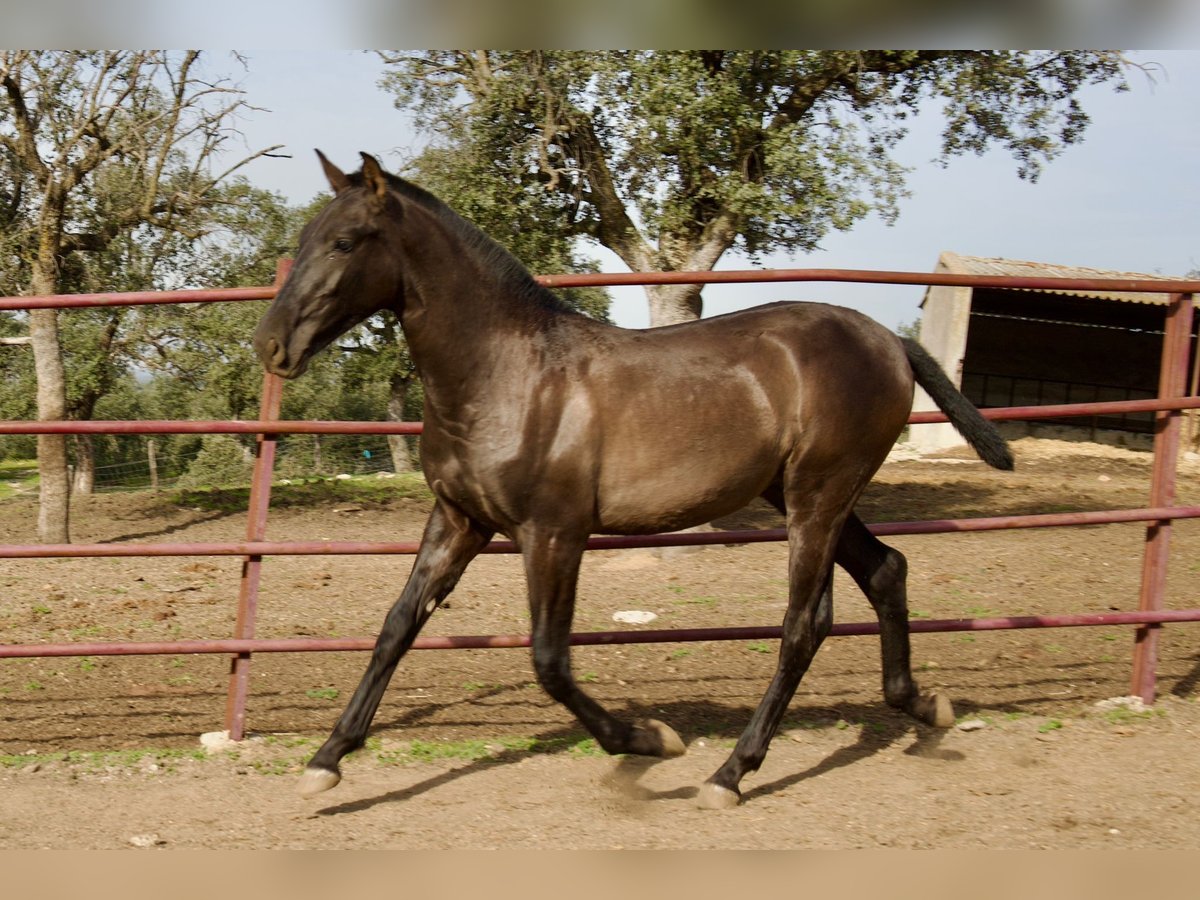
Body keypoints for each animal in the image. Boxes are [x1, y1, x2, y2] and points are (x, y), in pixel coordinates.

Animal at [255, 150, 1012, 811]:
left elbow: (549, 659)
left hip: (817, 496)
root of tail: (891, 341)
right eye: (307, 238)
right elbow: (395, 628)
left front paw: (649, 740)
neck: (505, 376)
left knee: (806, 623)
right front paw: (325, 762)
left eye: (346, 242)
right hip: (805, 493)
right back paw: (924, 706)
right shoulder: (459, 520)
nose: (271, 345)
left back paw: (731, 773)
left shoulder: (554, 532)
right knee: (886, 569)